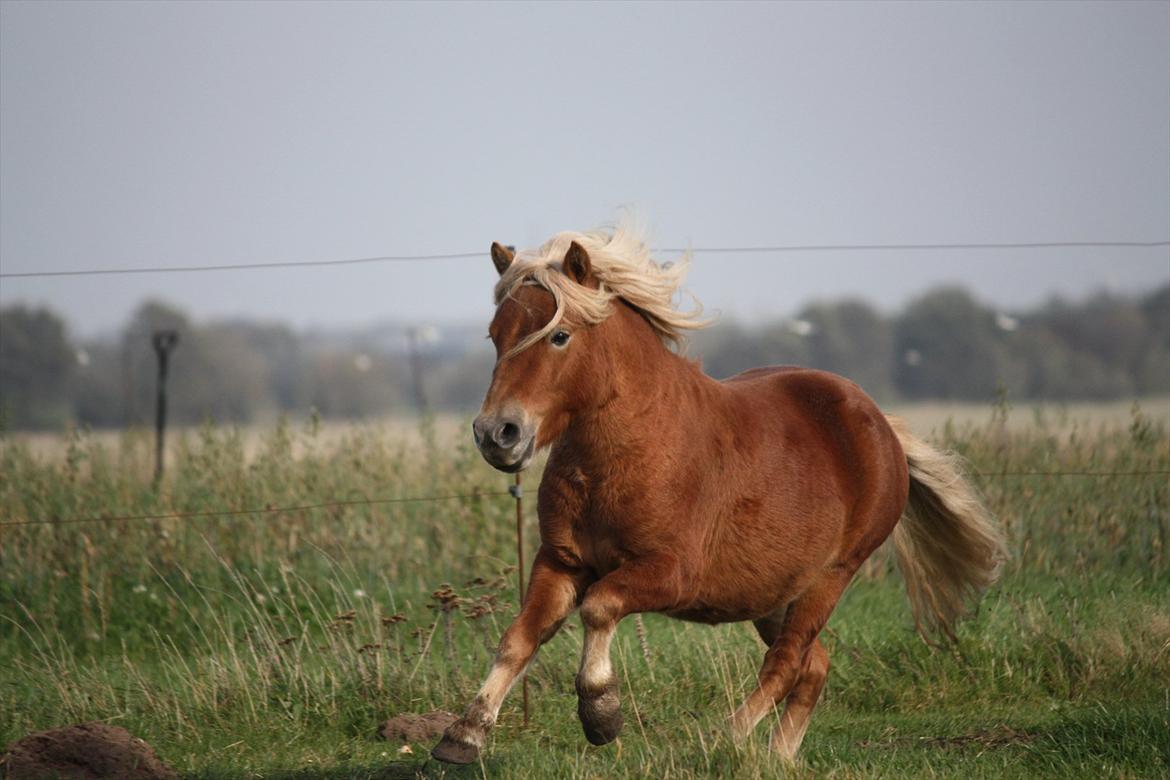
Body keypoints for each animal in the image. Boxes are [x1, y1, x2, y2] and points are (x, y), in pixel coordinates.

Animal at [430, 225, 1006, 762]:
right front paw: (463, 735)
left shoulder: (670, 573)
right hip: (773, 592)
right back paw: (778, 756)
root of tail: (881, 425)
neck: (627, 453)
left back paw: (727, 739)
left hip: (831, 577)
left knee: (786, 663)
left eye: (559, 336)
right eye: (495, 335)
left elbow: (599, 607)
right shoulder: (561, 561)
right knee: (814, 665)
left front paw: (601, 714)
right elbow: (518, 638)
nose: (497, 434)